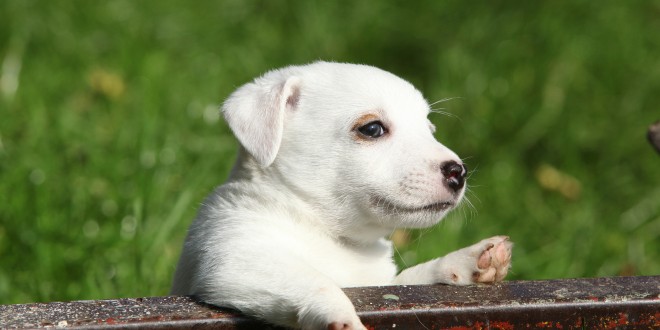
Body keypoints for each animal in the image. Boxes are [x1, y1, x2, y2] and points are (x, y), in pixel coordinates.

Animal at [173, 62, 512, 330]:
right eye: (372, 129)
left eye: (429, 129)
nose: (459, 172)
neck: (329, 233)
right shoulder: (236, 260)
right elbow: (319, 283)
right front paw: (342, 317)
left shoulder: (381, 287)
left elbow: (411, 278)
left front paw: (470, 260)